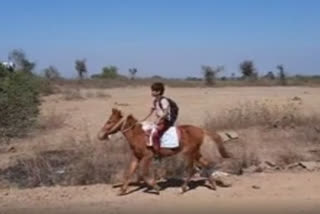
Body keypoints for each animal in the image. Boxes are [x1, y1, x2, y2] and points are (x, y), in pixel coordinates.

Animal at [97, 108, 230, 195]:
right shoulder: (136, 157)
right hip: (195, 153)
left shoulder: (147, 156)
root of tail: (201, 130)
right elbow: (129, 172)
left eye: (109, 121)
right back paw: (213, 185)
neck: (138, 134)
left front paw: (156, 187)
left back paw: (182, 189)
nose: (100, 135)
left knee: (192, 169)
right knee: (204, 164)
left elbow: (144, 173)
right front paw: (122, 190)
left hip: (188, 153)